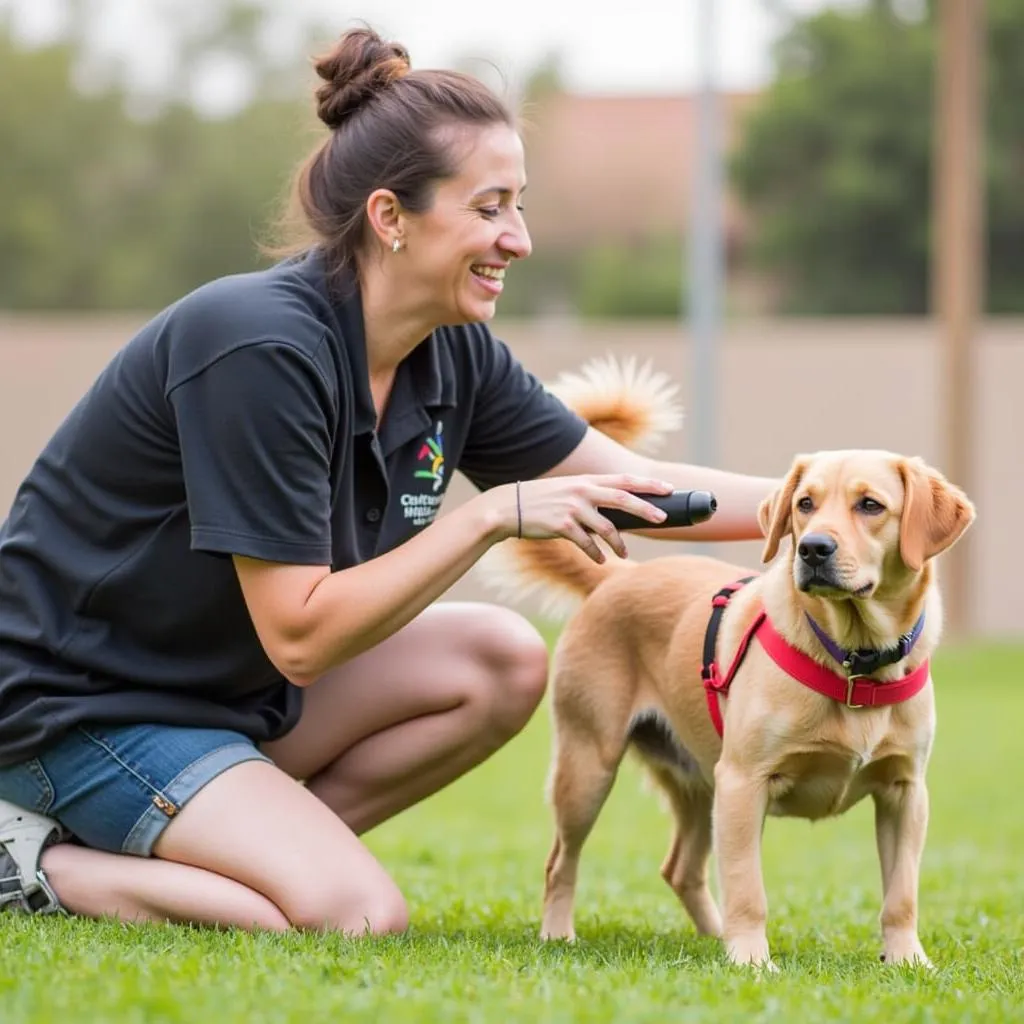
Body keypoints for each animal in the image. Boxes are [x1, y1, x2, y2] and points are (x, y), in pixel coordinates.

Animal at [479, 356, 974, 970]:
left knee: (680, 869)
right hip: (588, 769)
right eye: (805, 504)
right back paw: (559, 934)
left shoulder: (906, 793)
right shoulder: (744, 782)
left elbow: (901, 894)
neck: (853, 662)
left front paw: (907, 960)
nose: (812, 549)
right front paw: (752, 961)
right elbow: (747, 887)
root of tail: (618, 577)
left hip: (698, 785)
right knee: (559, 862)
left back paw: (711, 937)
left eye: (870, 505)